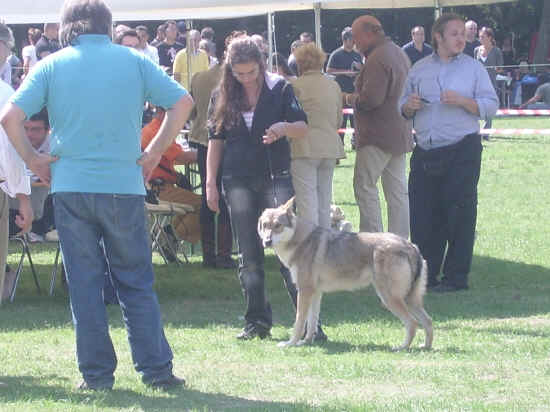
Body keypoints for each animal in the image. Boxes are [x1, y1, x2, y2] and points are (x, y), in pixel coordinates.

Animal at [258, 198, 436, 350]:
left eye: (278, 226)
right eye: (265, 225)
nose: (267, 241)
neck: (300, 241)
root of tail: (411, 246)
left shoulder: (304, 291)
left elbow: (299, 322)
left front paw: (291, 343)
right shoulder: (315, 293)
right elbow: (312, 321)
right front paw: (306, 342)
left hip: (390, 299)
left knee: (412, 324)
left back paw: (402, 347)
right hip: (410, 300)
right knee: (428, 322)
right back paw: (425, 347)